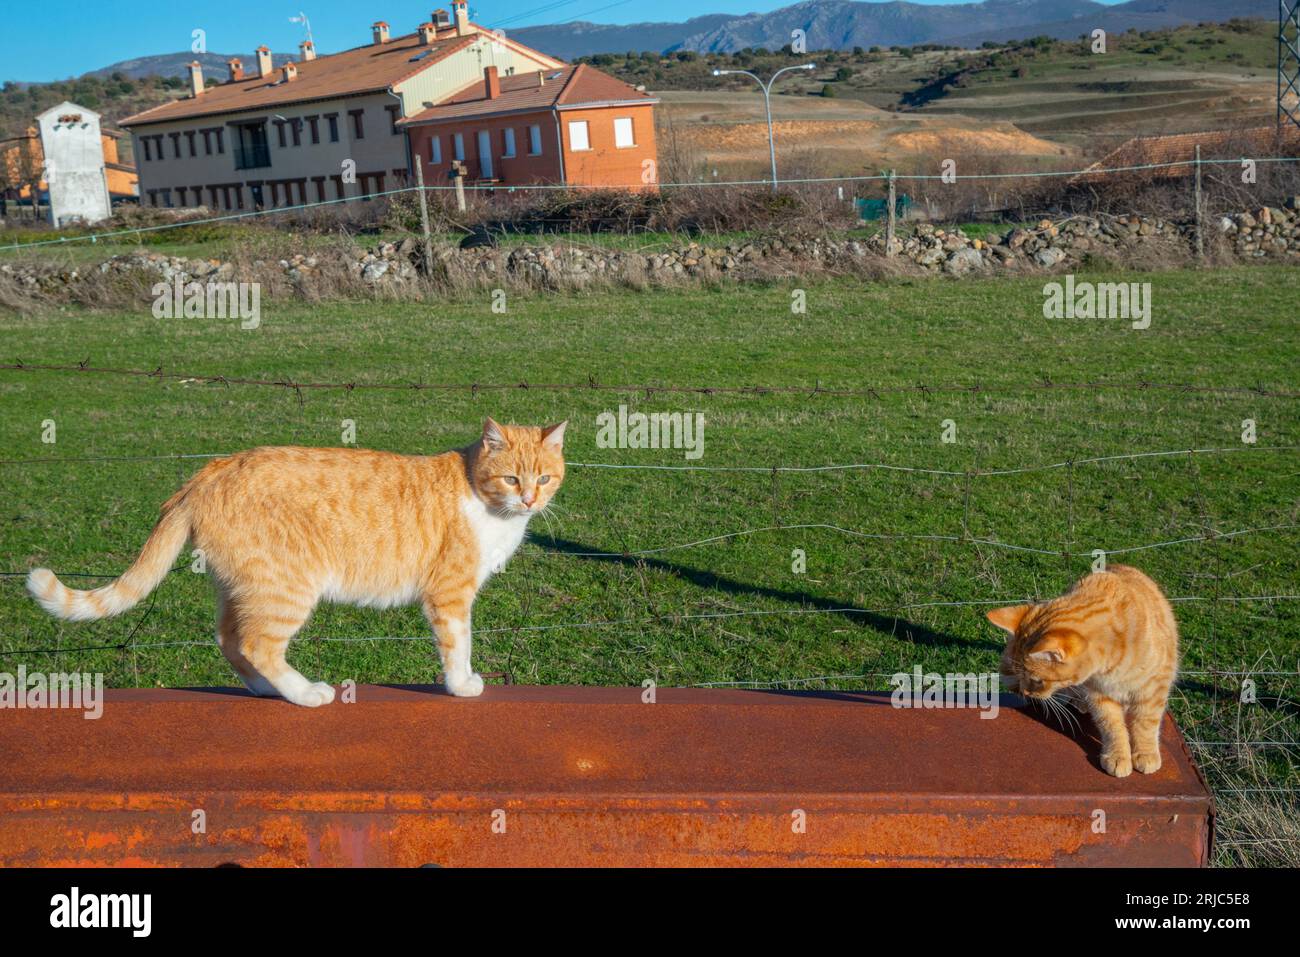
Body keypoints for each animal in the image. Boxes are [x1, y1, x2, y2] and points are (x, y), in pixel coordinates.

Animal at [27, 416, 566, 702]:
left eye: (544, 478)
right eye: (512, 479)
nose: (530, 501)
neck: (484, 500)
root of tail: (209, 472)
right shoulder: (450, 595)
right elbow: (459, 645)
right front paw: (462, 684)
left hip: (240, 587)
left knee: (230, 640)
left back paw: (265, 689)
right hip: (287, 587)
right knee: (259, 644)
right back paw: (304, 693)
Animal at [987, 561, 1185, 780]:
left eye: (1037, 680)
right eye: (1023, 678)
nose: (1026, 692)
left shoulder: (1154, 688)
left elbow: (1145, 723)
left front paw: (1145, 752)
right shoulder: (1098, 694)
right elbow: (1111, 726)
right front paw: (1118, 755)